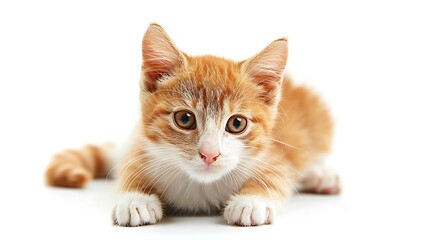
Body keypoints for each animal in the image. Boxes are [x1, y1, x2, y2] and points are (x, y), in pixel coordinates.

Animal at [43, 23, 338, 226]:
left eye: (237, 123)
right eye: (184, 119)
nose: (209, 154)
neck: (200, 187)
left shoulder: (274, 152)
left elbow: (277, 176)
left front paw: (251, 201)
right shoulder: (141, 143)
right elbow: (130, 167)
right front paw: (135, 198)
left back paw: (321, 176)